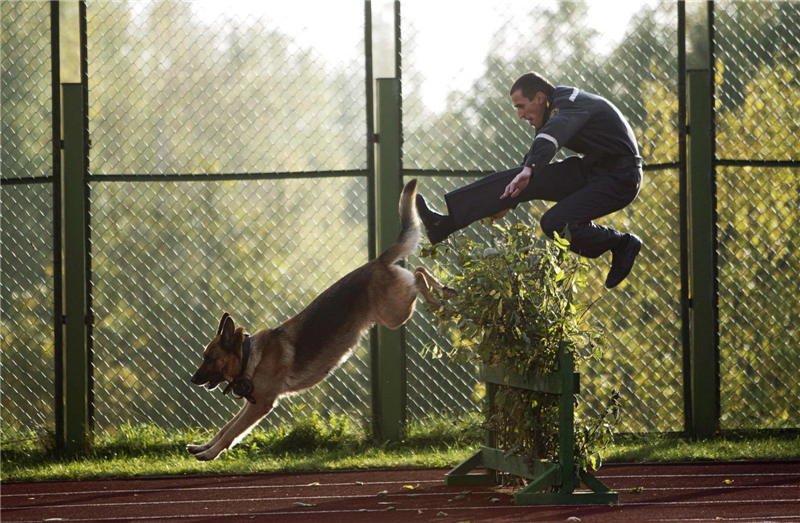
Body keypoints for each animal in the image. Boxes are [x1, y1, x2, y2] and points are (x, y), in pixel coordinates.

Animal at [186, 180, 450, 462]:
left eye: (210, 358)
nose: (192, 379)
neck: (250, 355)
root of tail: (377, 261)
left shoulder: (261, 405)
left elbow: (230, 433)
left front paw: (209, 454)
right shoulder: (251, 404)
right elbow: (225, 428)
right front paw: (203, 447)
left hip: (395, 314)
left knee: (418, 275)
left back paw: (440, 294)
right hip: (396, 311)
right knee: (419, 271)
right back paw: (444, 291)